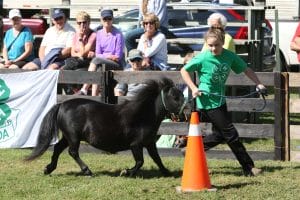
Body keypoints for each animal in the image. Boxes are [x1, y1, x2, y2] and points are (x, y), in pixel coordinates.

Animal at [25, 77, 185, 177]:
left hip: (67, 136)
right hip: (73, 137)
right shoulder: (136, 145)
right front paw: (126, 172)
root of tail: (62, 105)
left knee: (58, 148)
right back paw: (87, 171)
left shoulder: (150, 143)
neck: (143, 115)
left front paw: (167, 173)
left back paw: (48, 169)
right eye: (175, 97)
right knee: (72, 152)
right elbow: (140, 162)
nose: (187, 112)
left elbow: (157, 159)